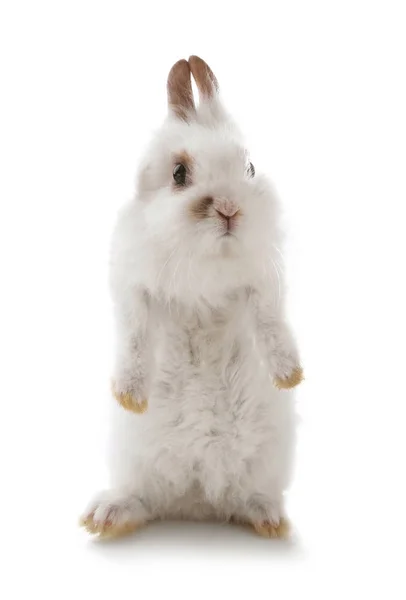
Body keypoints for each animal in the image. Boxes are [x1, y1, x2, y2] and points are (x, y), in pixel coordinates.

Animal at [80, 56, 302, 540]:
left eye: (250, 167)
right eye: (179, 174)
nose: (230, 209)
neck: (206, 259)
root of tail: (197, 501)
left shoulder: (263, 284)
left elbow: (271, 325)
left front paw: (289, 376)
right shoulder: (132, 287)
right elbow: (135, 338)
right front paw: (130, 396)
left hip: (264, 463)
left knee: (247, 498)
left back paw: (270, 518)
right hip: (135, 460)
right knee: (143, 499)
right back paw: (106, 515)